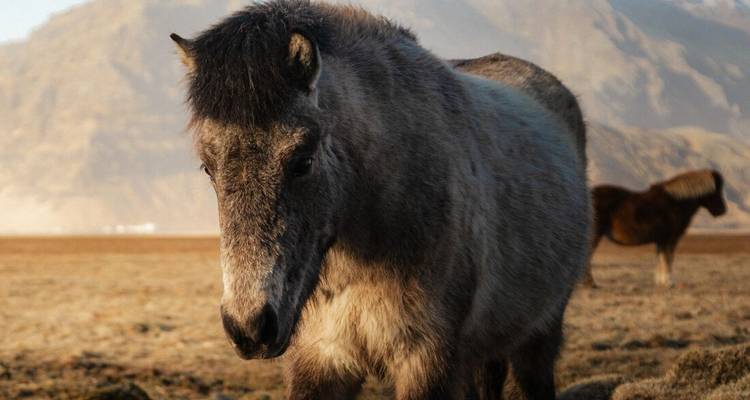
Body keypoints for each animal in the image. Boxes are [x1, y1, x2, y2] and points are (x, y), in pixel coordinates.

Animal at [170, 1, 591, 398]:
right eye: (208, 167)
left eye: (303, 160)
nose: (250, 327)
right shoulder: (320, 359)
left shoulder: (428, 362)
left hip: (537, 340)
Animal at [583, 170, 727, 288]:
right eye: (716, 191)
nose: (722, 210)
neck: (676, 203)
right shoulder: (671, 239)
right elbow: (668, 258)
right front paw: (669, 282)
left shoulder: (661, 240)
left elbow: (661, 258)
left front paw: (660, 281)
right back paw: (590, 284)